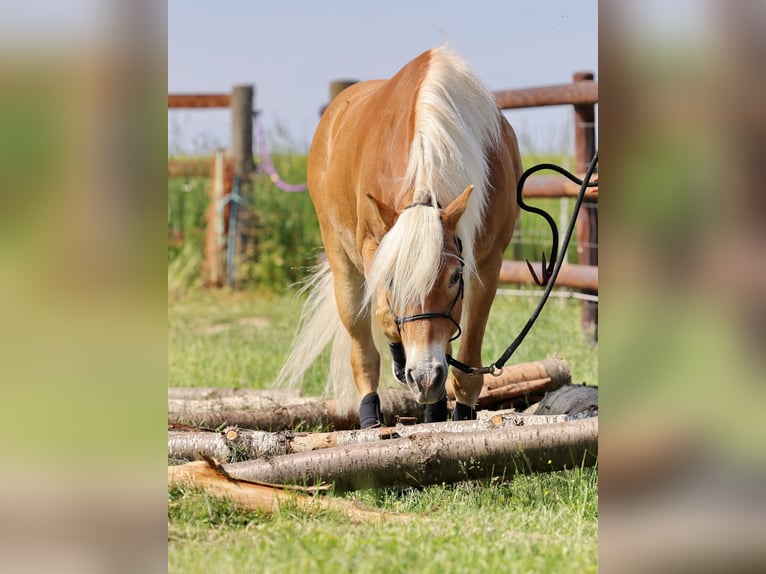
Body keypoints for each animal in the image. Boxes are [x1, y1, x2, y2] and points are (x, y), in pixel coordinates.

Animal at [276, 48, 520, 428]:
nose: (425, 377)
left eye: (455, 277)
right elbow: (385, 318)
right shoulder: (374, 250)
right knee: (363, 349)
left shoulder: (487, 263)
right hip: (343, 264)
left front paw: (459, 413)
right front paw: (403, 365)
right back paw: (372, 414)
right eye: (392, 280)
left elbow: (467, 360)